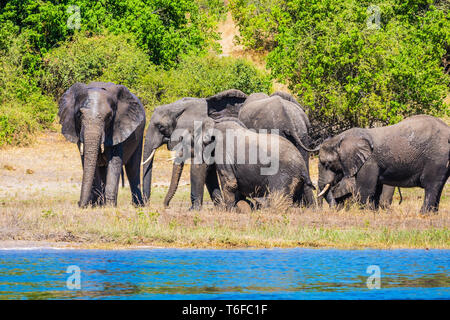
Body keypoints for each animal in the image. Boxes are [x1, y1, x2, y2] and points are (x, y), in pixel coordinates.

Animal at [318, 115, 448, 212]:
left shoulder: (369, 161)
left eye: (327, 164)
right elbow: (376, 189)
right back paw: (433, 213)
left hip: (436, 157)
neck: (340, 138)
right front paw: (373, 212)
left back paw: (423, 213)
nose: (334, 209)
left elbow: (366, 188)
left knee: (431, 186)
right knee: (438, 187)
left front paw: (363, 212)